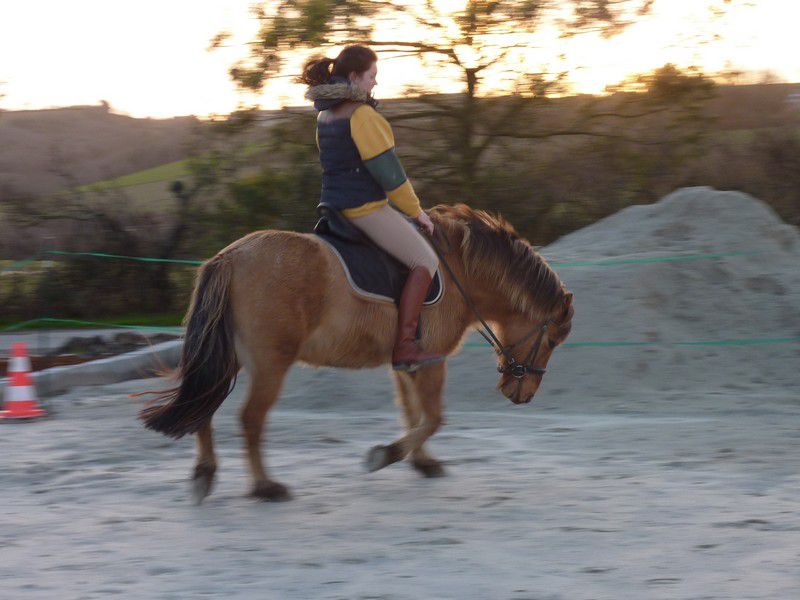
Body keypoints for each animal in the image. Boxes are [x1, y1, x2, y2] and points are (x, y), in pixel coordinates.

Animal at [140, 203, 574, 503]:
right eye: (553, 340)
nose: (522, 395)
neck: (461, 271)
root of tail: (228, 258)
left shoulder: (406, 363)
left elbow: (412, 411)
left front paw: (422, 462)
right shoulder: (432, 360)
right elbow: (433, 417)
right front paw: (385, 455)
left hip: (231, 357)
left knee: (203, 406)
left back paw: (205, 475)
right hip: (269, 364)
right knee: (249, 419)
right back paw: (265, 486)